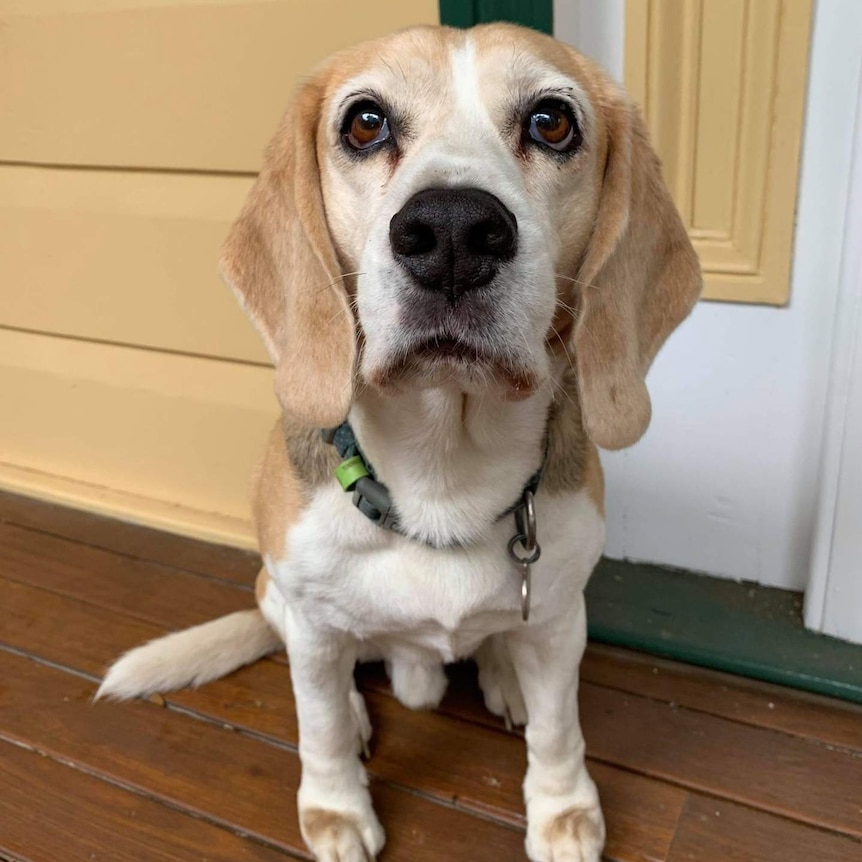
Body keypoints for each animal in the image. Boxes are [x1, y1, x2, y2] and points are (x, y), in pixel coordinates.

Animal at [99, 25, 704, 862]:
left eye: (552, 122)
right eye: (365, 123)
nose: (452, 231)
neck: (442, 474)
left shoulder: (558, 618)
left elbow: (560, 729)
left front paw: (563, 814)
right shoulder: (314, 623)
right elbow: (318, 722)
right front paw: (335, 810)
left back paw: (504, 674)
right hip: (280, 600)